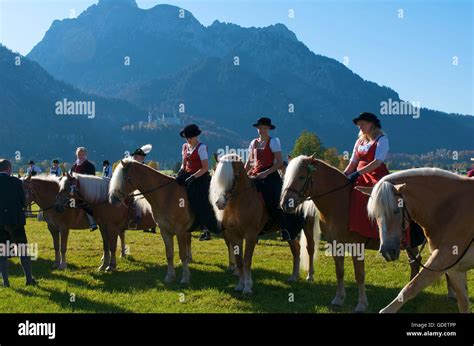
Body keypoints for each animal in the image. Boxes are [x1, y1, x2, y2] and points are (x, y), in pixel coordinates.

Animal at [210, 154, 318, 294]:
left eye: (235, 176)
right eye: (215, 172)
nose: (219, 203)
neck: (241, 200)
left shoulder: (250, 235)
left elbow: (247, 260)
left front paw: (247, 287)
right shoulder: (234, 235)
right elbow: (239, 260)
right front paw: (240, 285)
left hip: (308, 227)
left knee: (310, 248)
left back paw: (310, 276)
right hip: (289, 231)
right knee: (296, 249)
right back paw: (294, 276)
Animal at [278, 155, 422, 312]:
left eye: (301, 177)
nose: (285, 203)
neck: (341, 204)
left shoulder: (356, 247)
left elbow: (359, 275)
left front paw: (361, 304)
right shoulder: (336, 244)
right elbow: (339, 272)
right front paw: (339, 299)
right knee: (415, 263)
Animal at [360, 168, 474, 314]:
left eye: (396, 211)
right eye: (375, 215)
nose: (387, 251)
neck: (452, 209)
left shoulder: (442, 259)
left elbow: (411, 288)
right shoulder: (455, 269)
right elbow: (463, 303)